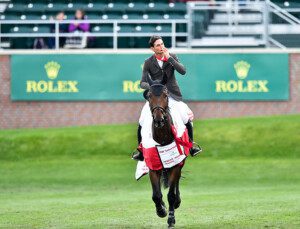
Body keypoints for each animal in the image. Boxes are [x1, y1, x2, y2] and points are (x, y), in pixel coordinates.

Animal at [145, 74, 188, 228]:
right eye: (149, 96)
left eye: (165, 95)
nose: (159, 119)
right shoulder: (153, 167)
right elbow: (156, 195)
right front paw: (161, 210)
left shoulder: (176, 164)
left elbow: (171, 194)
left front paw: (170, 219)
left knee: (176, 184)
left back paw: (177, 203)